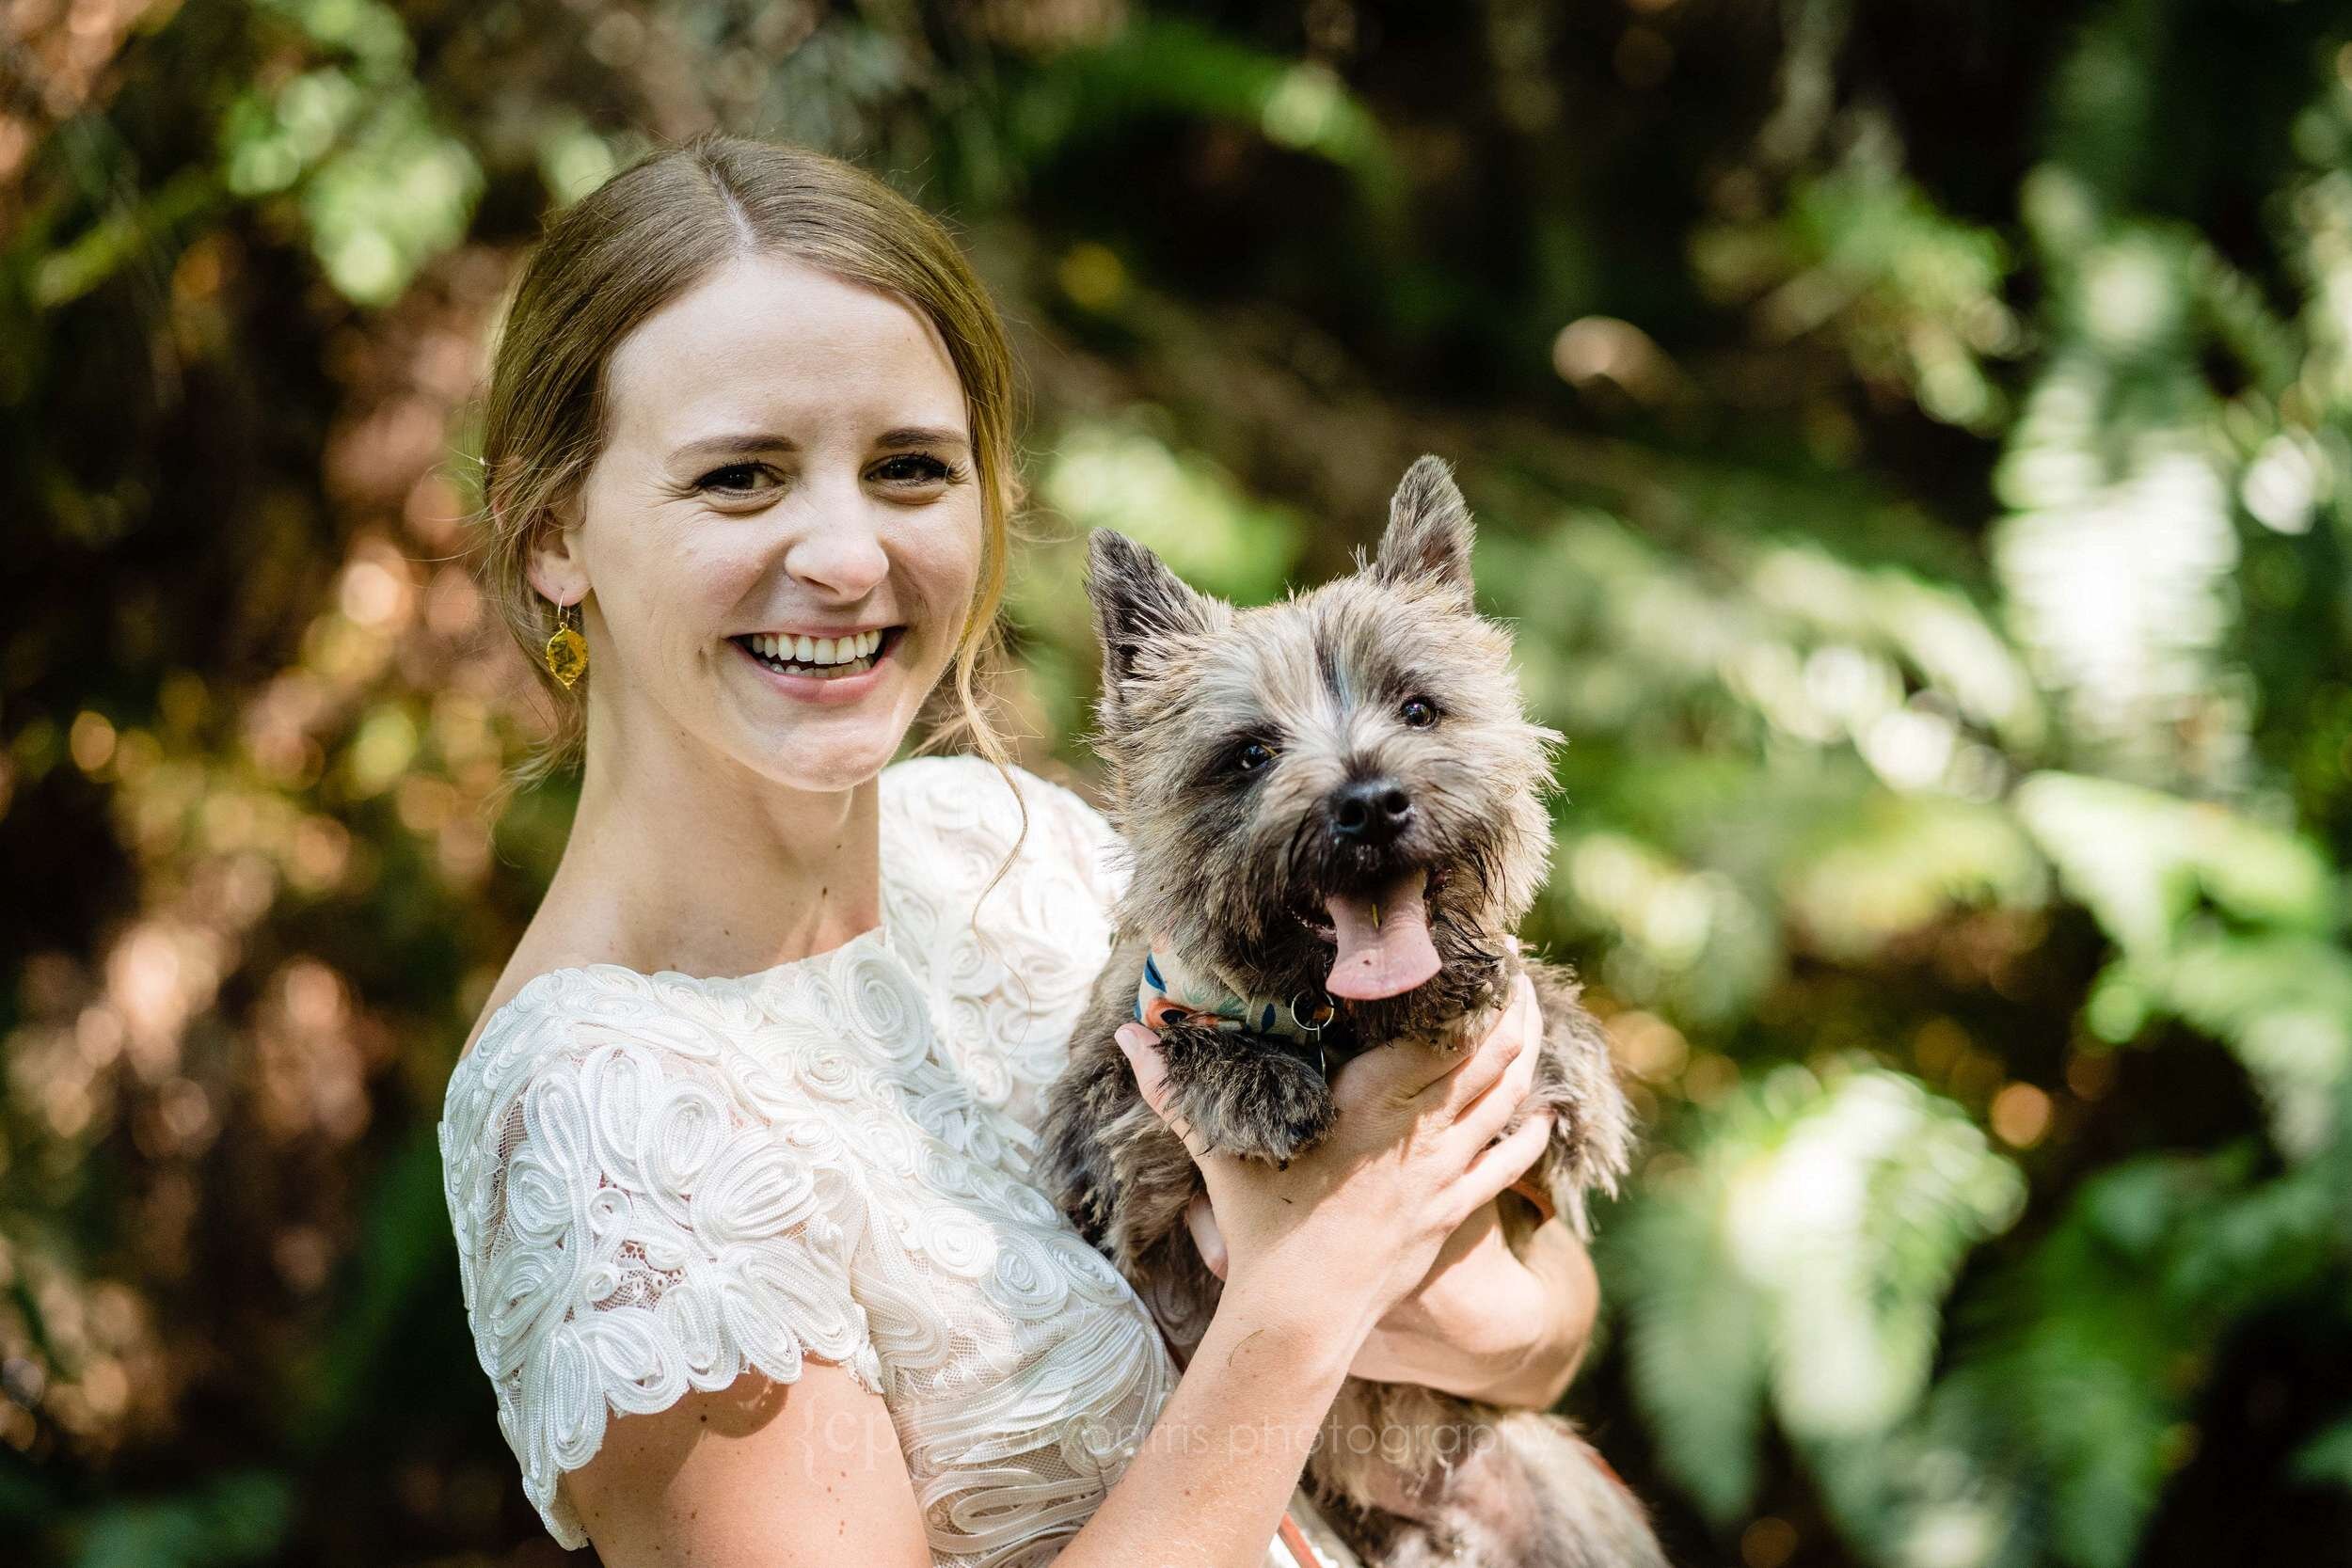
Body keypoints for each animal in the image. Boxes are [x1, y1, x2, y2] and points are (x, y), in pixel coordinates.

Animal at [1040, 455, 1665, 1568]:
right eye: (1248, 752)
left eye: (1418, 708)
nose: (1370, 801)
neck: (1340, 1016)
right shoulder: (1108, 1176)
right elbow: (1144, 1067)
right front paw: (1248, 1075)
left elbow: (1539, 1022)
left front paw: (1535, 1021)